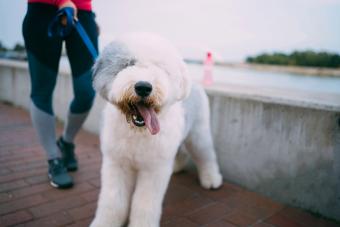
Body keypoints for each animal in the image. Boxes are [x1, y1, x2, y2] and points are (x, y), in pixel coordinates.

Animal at [90, 32, 223, 227]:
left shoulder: (153, 169)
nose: (143, 87)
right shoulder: (117, 163)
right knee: (182, 151)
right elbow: (113, 201)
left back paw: (212, 180)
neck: (138, 131)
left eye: (160, 68)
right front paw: (104, 223)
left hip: (198, 134)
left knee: (206, 155)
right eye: (128, 63)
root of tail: (195, 83)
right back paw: (177, 167)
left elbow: (145, 204)